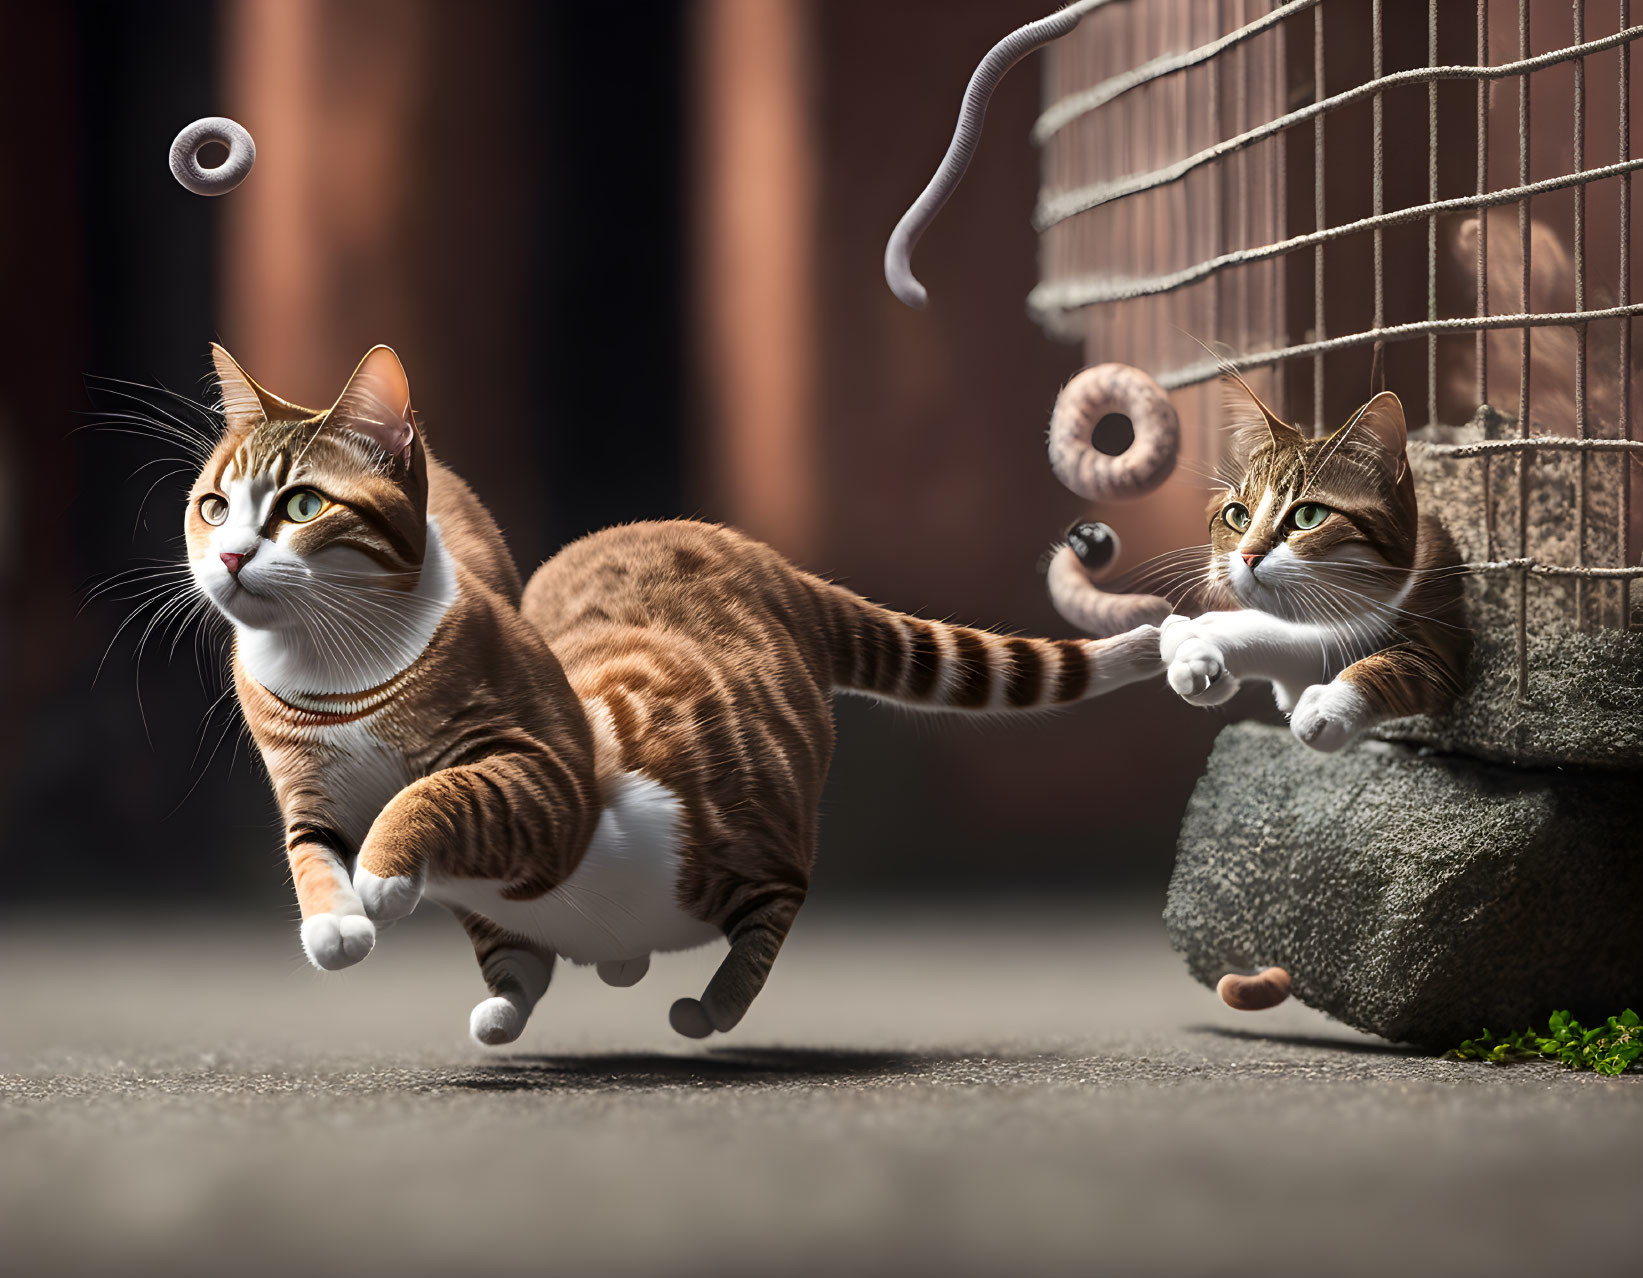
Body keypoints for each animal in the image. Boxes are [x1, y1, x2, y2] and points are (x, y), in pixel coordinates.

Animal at [188, 343, 1169, 1038]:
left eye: (302, 505)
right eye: (213, 507)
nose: (230, 557)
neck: (329, 669)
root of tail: (766, 560)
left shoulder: (545, 781)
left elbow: (433, 791)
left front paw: (385, 873)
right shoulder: (307, 793)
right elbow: (312, 856)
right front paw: (338, 924)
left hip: (741, 836)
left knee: (774, 903)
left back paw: (709, 1001)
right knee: (532, 958)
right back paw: (540, 986)